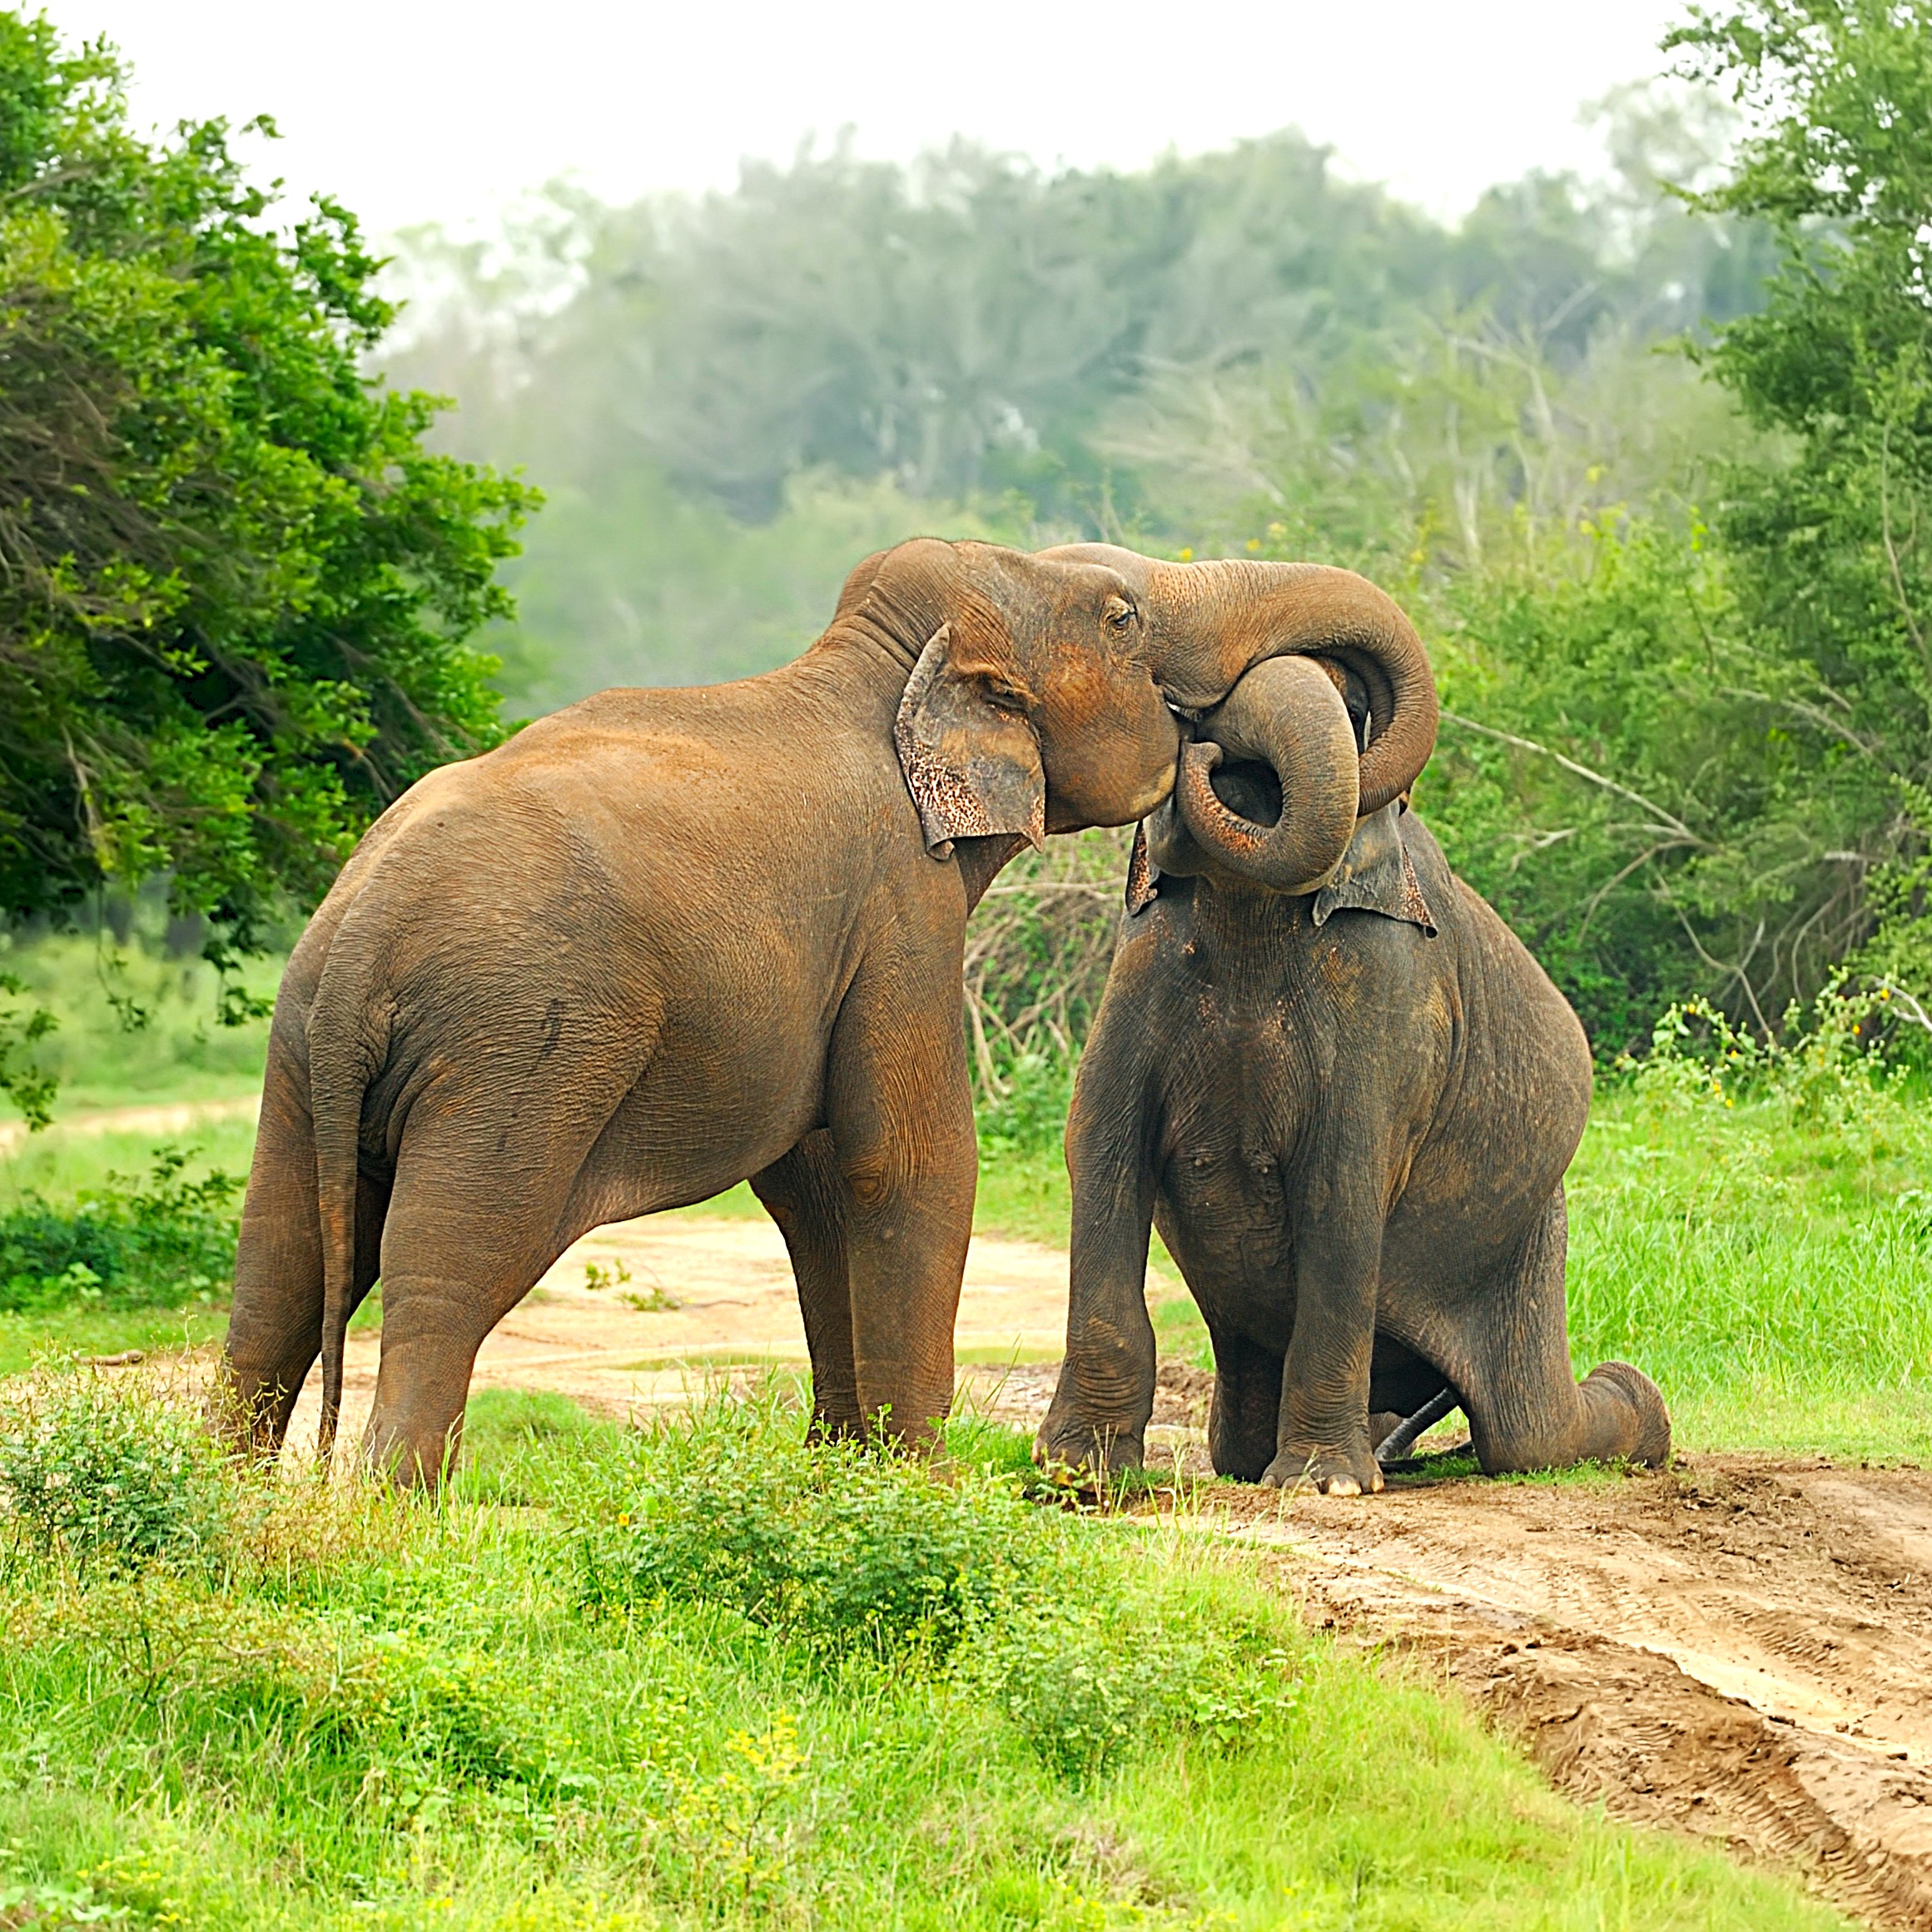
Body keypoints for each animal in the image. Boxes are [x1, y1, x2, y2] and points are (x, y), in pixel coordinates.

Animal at [1034, 601, 1671, 1495]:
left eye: (1352, 705)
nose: (1203, 748)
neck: (1246, 906)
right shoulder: (1139, 957)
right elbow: (1100, 1146)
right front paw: (1076, 1475)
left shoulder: (1387, 987)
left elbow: (1342, 1181)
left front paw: (1321, 1484)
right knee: (1245, 1435)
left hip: (1532, 1237)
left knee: (1531, 1433)